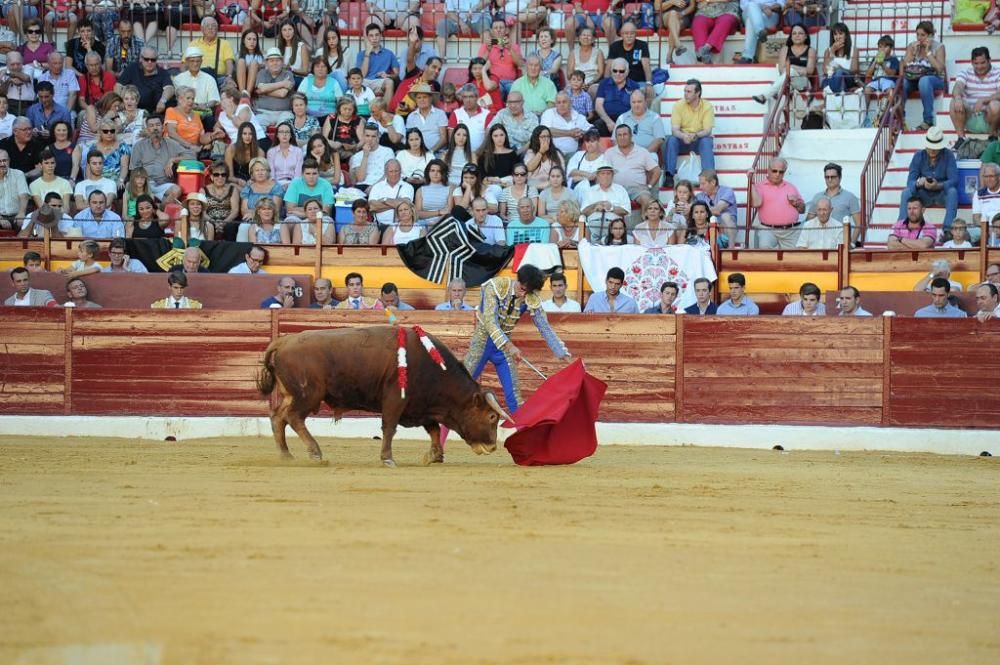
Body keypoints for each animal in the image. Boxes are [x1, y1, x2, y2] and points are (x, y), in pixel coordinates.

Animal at [258, 324, 512, 464]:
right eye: (492, 417)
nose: (492, 447)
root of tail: (283, 341)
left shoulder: (420, 406)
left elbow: (433, 429)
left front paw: (435, 456)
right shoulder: (395, 400)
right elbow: (389, 428)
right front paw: (388, 458)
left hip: (292, 394)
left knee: (277, 418)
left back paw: (286, 456)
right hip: (309, 394)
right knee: (293, 418)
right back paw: (315, 453)